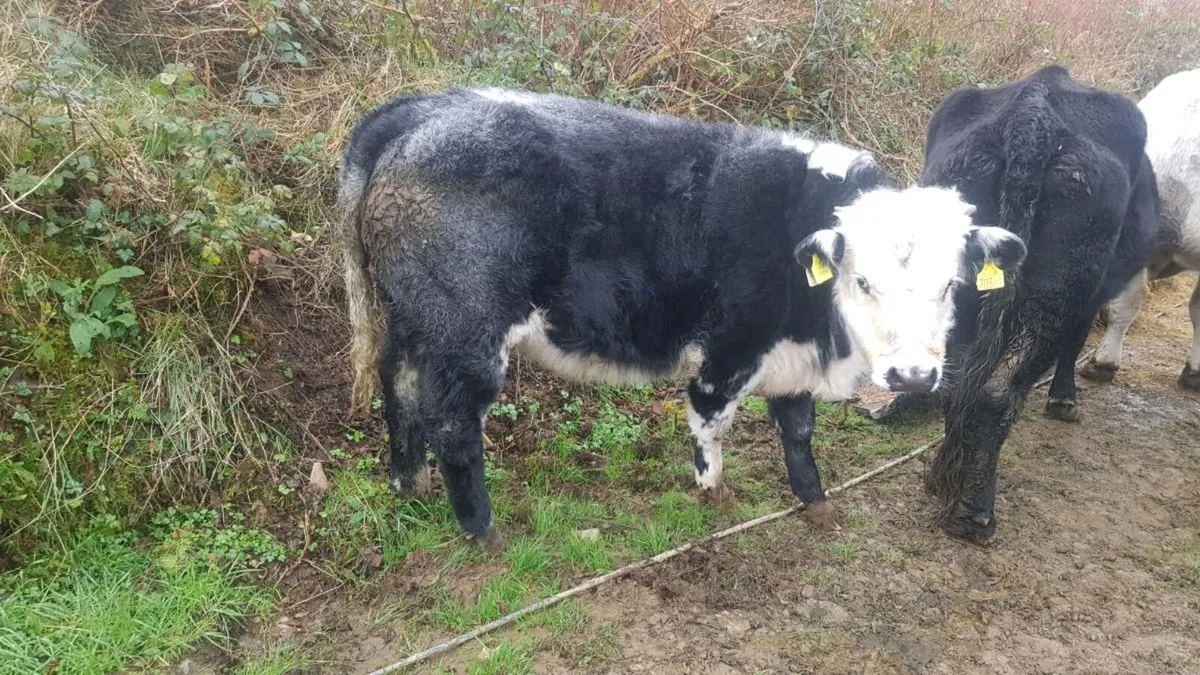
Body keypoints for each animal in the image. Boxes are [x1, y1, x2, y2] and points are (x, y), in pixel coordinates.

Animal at [339, 88, 1026, 548]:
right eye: (863, 281)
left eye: (949, 285)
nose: (913, 377)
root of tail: (424, 108)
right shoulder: (732, 346)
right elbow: (710, 420)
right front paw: (713, 492)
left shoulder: (792, 358)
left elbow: (798, 430)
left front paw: (815, 502)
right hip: (466, 334)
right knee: (453, 422)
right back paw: (480, 529)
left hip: (412, 320)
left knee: (397, 384)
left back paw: (409, 483)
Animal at [921, 65, 1160, 542]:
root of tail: (1033, 113)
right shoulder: (1091, 293)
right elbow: (1076, 341)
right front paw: (1064, 400)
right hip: (1059, 289)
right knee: (997, 390)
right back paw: (976, 512)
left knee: (960, 380)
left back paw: (942, 480)